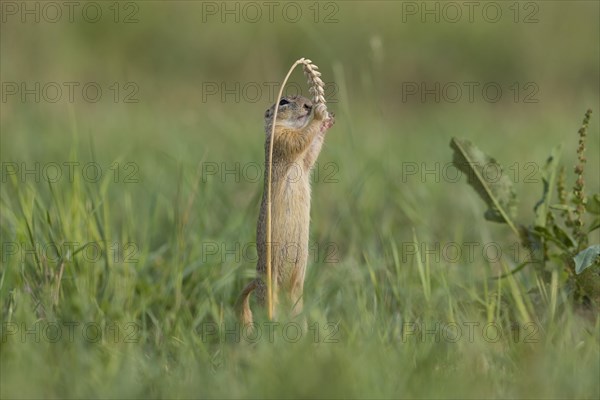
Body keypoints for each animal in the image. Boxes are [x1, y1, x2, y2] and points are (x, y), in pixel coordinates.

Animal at [237, 96, 336, 324]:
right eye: (283, 101)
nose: (308, 105)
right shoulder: (281, 138)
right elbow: (299, 140)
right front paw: (319, 114)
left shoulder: (303, 158)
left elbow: (310, 153)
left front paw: (327, 122)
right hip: (269, 289)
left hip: (297, 292)